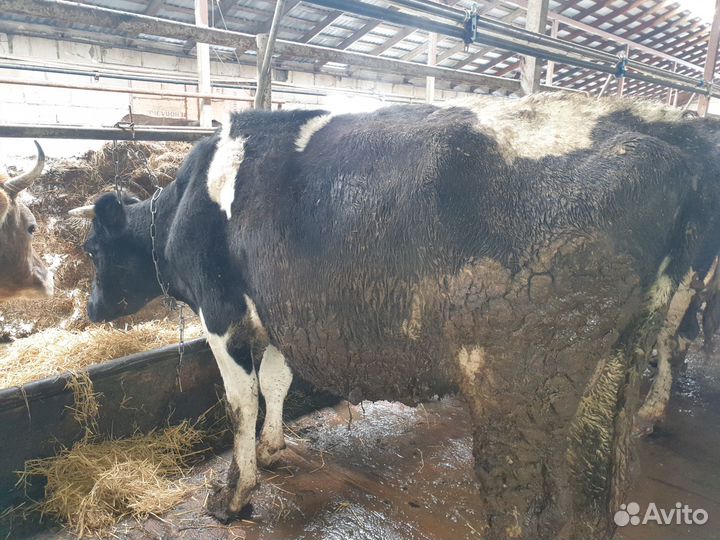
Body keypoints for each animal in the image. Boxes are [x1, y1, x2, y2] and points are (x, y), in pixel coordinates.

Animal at [70, 93, 720, 539]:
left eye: (92, 250)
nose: (93, 308)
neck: (186, 203)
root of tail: (670, 156)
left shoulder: (221, 311)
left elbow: (241, 402)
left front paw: (235, 494)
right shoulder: (276, 311)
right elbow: (277, 383)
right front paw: (276, 448)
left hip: (525, 384)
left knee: (529, 501)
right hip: (608, 371)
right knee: (592, 486)